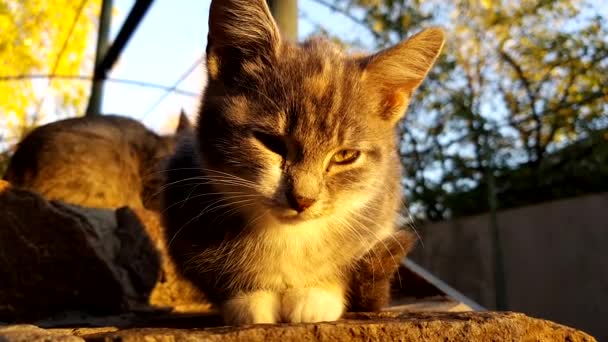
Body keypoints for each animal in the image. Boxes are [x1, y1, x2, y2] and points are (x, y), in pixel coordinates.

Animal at [162, 0, 446, 324]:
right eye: (271, 142)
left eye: (344, 156)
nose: (303, 199)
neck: (287, 235)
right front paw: (249, 298)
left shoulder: (378, 210)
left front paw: (317, 294)